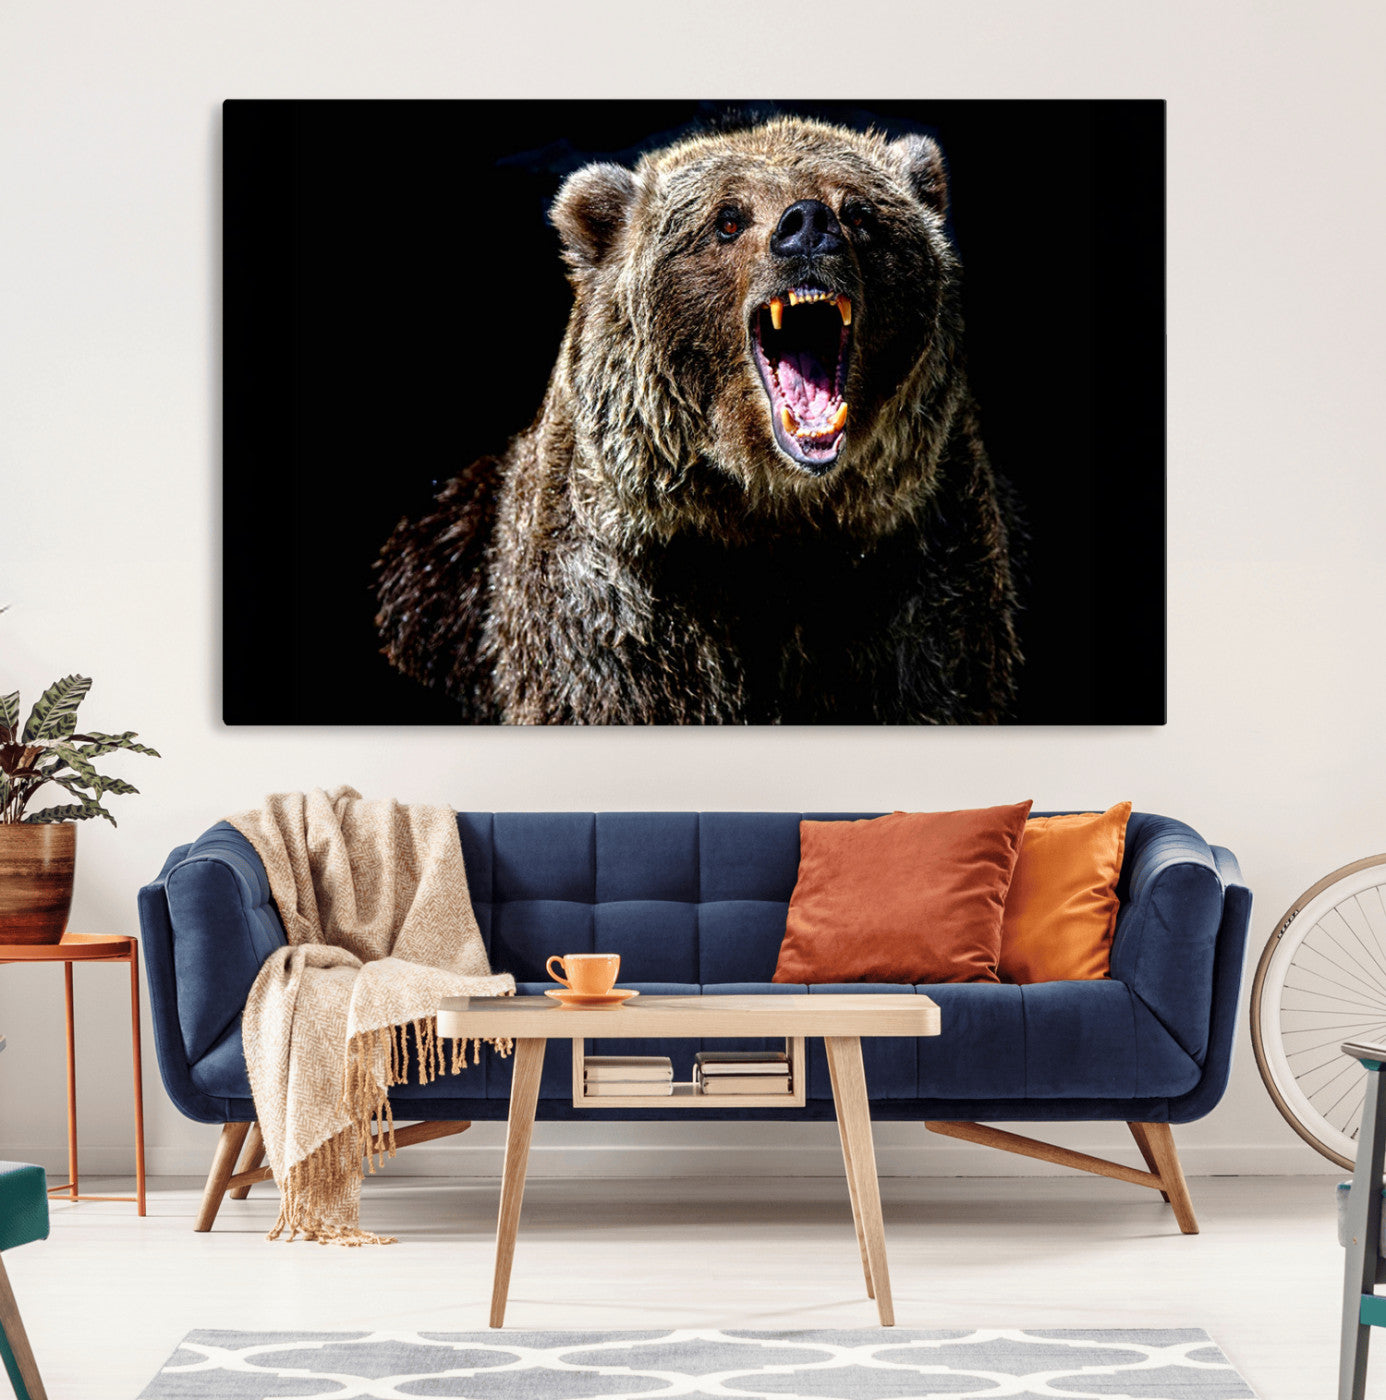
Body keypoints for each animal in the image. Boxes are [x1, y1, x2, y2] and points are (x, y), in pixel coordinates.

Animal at [375, 116, 1022, 724]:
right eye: (727, 219)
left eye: (859, 211)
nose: (808, 225)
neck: (769, 517)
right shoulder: (618, 608)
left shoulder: (915, 581)